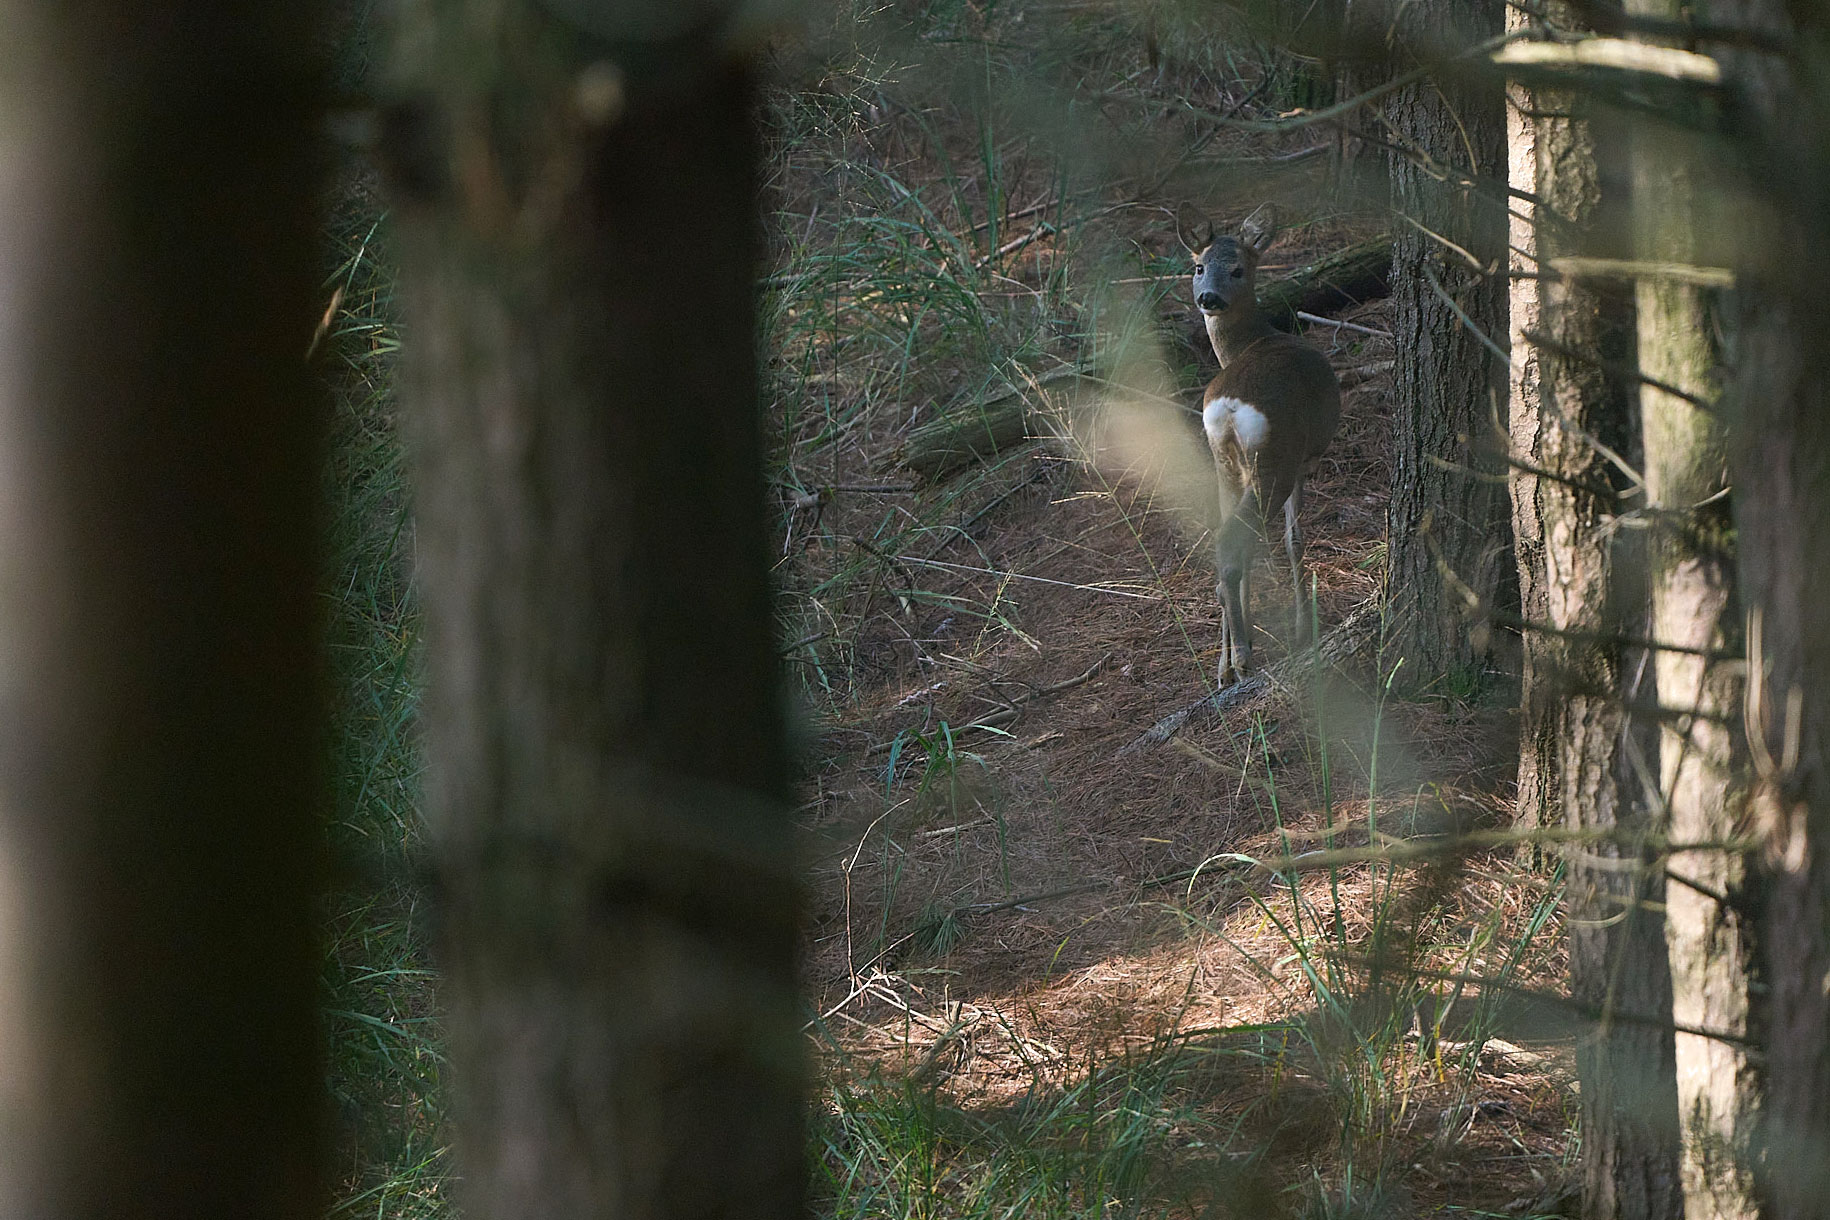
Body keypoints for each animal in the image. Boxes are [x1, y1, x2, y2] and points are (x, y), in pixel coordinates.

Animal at [1181, 206, 1342, 686]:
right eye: (1199, 267)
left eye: (1236, 269)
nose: (1208, 297)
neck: (1250, 341)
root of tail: (1233, 406)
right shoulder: (1303, 460)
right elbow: (1294, 540)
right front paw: (1301, 627)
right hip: (1276, 458)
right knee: (1234, 541)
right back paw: (1243, 658)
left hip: (1226, 462)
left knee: (1225, 546)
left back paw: (1225, 663)